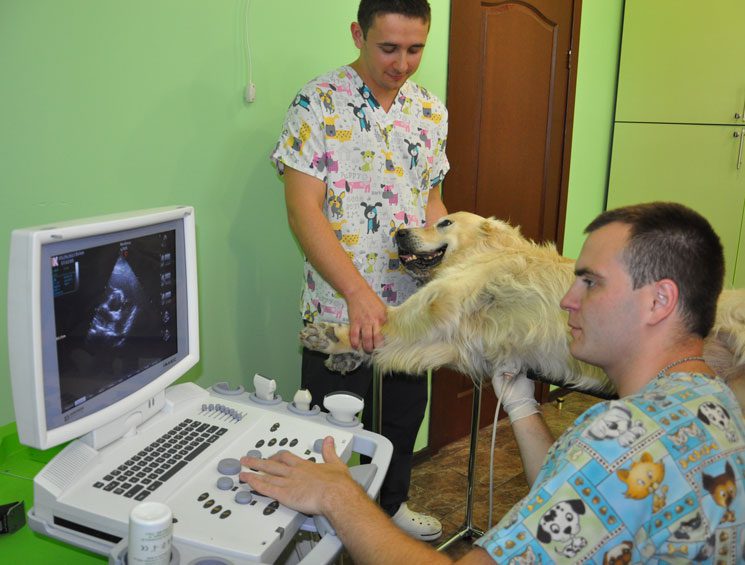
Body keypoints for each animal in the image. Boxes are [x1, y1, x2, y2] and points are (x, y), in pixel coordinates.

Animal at [299, 212, 745, 407]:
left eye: (443, 222)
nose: (399, 232)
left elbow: (397, 318)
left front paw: (335, 334)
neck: (489, 251)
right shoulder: (458, 339)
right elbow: (399, 345)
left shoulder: (446, 297)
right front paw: (348, 352)